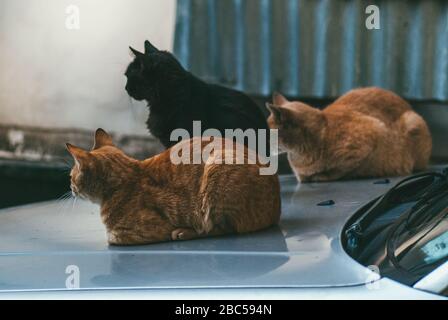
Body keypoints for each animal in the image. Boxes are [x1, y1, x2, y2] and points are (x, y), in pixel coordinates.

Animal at [66, 129, 280, 246]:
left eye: (70, 176)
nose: (70, 186)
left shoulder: (127, 233)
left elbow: (111, 236)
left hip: (217, 169)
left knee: (220, 228)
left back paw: (184, 232)